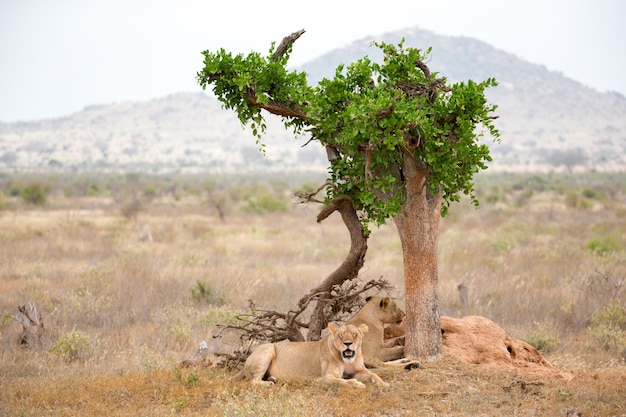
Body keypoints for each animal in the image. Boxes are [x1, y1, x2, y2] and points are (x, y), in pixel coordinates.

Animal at [233, 322, 386, 386]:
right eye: (341, 335)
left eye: (355, 334)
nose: (347, 343)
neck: (347, 360)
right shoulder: (327, 377)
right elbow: (342, 382)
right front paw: (357, 384)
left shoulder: (360, 370)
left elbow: (374, 375)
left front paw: (385, 384)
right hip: (268, 348)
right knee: (254, 382)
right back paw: (269, 383)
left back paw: (273, 379)